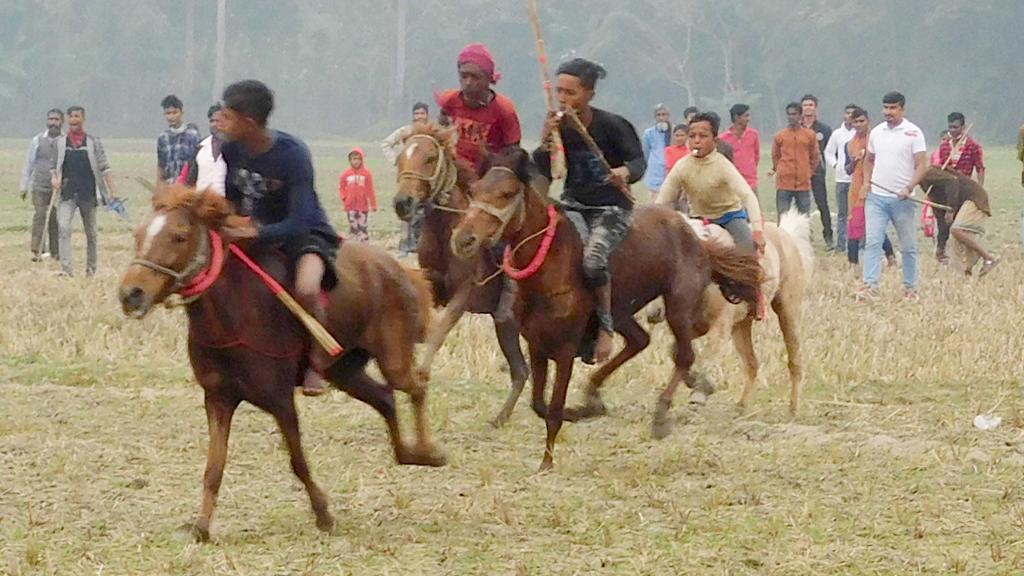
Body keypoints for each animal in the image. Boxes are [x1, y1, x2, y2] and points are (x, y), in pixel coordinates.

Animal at [117, 182, 444, 537]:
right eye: (138, 234)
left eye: (178, 236)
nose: (130, 294)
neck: (234, 312)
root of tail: (403, 271)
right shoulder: (218, 399)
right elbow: (214, 466)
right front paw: (201, 526)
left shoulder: (279, 399)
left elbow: (297, 462)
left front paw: (323, 513)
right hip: (344, 371)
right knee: (385, 398)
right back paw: (408, 453)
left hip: (392, 357)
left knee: (416, 385)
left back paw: (428, 451)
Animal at [393, 121, 532, 426]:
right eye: (399, 159)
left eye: (430, 158)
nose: (403, 203)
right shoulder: (433, 286)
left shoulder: (463, 296)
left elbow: (438, 331)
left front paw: (420, 376)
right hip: (506, 325)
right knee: (520, 371)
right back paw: (500, 418)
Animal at [448, 148, 761, 471]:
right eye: (474, 191)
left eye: (507, 193)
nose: (463, 239)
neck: (548, 263)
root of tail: (697, 239)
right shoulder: (536, 345)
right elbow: (539, 404)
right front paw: (579, 413)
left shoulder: (564, 349)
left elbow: (553, 408)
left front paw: (547, 462)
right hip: (620, 312)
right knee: (639, 341)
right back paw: (593, 396)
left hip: (678, 305)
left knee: (684, 355)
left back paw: (660, 415)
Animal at [651, 208, 811, 414]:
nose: (654, 314)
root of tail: (786, 234)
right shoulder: (697, 327)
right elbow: (675, 350)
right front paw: (691, 379)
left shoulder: (720, 327)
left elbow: (710, 354)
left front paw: (699, 393)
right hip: (742, 325)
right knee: (752, 364)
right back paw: (740, 407)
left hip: (788, 311)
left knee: (795, 360)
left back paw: (793, 409)